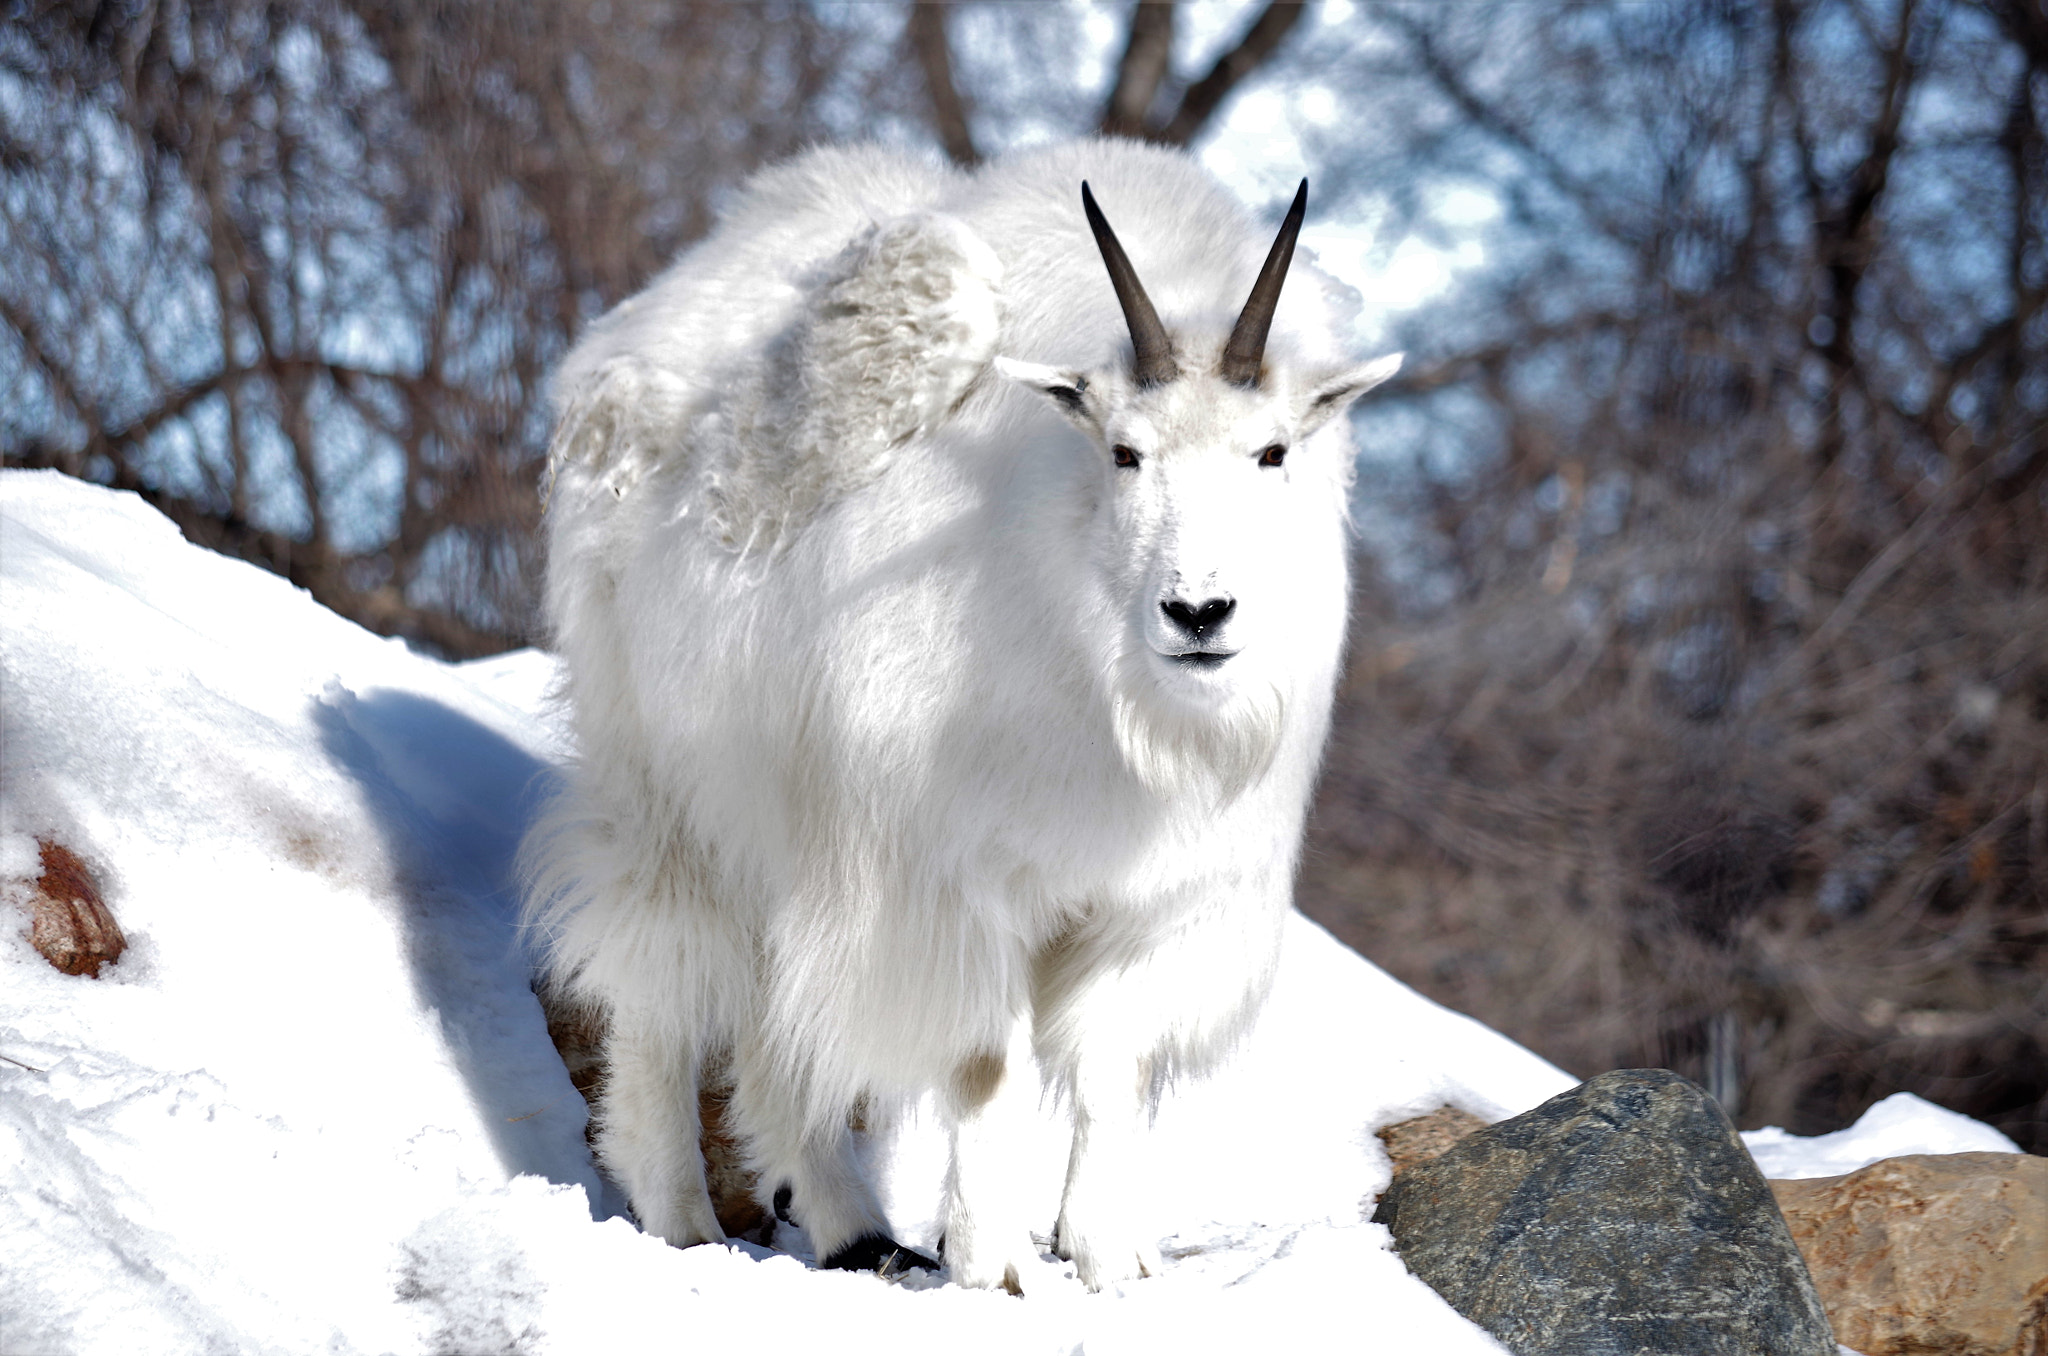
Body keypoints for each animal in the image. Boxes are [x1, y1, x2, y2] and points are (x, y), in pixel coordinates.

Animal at [520, 138, 1400, 1294]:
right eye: (1122, 452)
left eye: (1273, 453)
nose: (1198, 612)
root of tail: (622, 339)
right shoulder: (943, 884)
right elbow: (984, 1064)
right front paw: (996, 1264)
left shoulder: (1155, 902)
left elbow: (1110, 1067)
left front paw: (1108, 1257)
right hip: (665, 788)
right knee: (659, 974)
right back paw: (681, 1217)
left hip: (783, 833)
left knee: (774, 1024)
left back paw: (853, 1229)